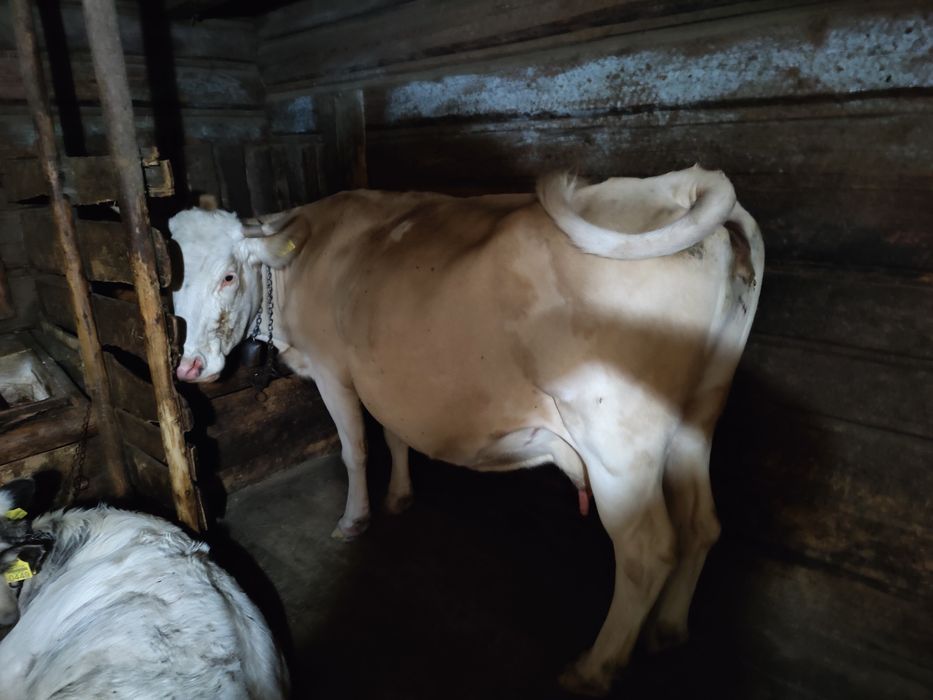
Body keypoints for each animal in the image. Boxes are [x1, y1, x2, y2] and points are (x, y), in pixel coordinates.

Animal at [169, 165, 763, 695]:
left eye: (228, 276)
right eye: (173, 288)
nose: (189, 368)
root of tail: (674, 184)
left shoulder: (335, 369)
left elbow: (355, 449)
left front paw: (355, 519)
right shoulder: (386, 373)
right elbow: (395, 435)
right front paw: (400, 497)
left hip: (619, 442)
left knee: (646, 550)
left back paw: (596, 667)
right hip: (701, 412)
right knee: (701, 523)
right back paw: (668, 629)